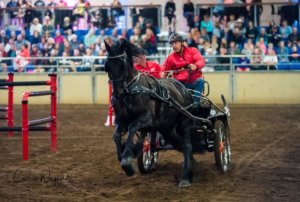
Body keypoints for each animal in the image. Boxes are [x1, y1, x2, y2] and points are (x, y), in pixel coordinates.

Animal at [104, 38, 212, 187]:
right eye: (107, 66)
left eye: (122, 65)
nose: (117, 94)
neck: (132, 90)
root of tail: (185, 90)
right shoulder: (122, 121)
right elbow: (116, 136)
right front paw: (126, 157)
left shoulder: (147, 119)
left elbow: (132, 128)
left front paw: (127, 162)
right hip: (167, 128)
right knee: (180, 145)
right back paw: (192, 169)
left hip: (184, 123)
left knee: (187, 146)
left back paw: (185, 177)